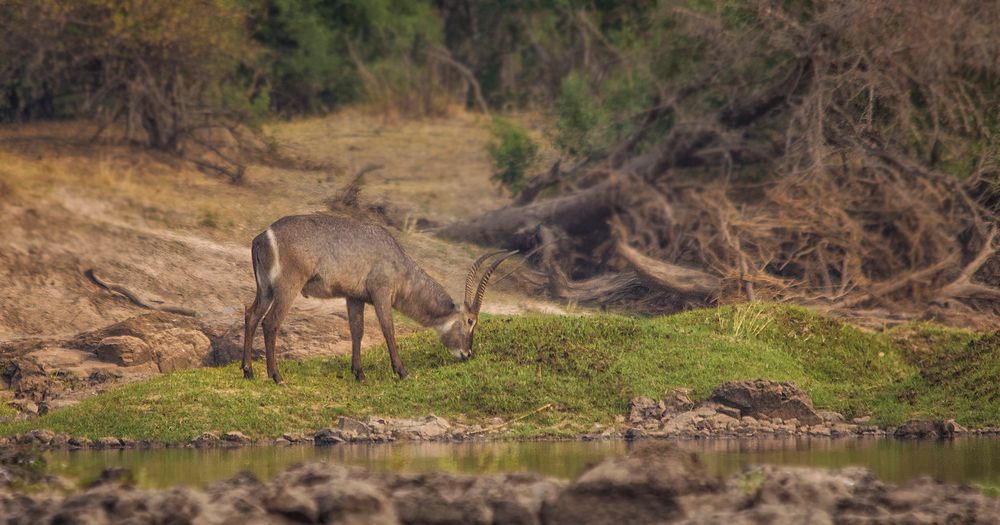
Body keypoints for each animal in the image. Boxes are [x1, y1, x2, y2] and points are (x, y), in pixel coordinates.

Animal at [242, 211, 516, 382]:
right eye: (471, 321)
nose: (467, 354)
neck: (400, 264)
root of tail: (263, 236)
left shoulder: (354, 297)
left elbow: (357, 330)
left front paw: (359, 374)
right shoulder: (381, 294)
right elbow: (387, 329)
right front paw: (402, 372)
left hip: (265, 289)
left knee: (251, 315)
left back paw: (248, 371)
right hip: (287, 288)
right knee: (271, 322)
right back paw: (276, 376)